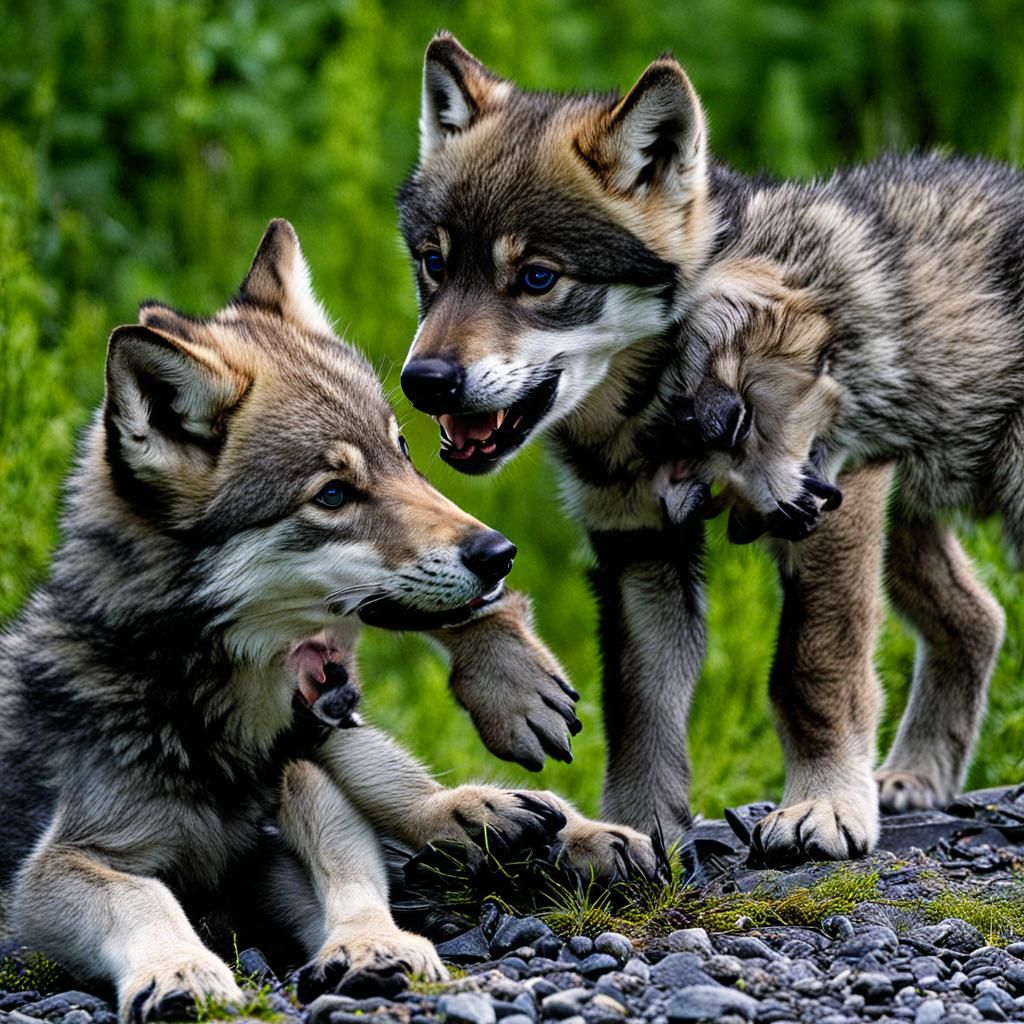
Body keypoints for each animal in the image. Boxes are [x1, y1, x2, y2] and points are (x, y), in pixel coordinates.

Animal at [0, 219, 662, 1021]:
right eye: (334, 495)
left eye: (401, 452)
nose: (498, 554)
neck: (219, 726)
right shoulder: (56, 872)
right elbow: (145, 899)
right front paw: (182, 970)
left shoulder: (288, 812)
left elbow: (349, 869)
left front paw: (374, 945)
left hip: (327, 727)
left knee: (399, 789)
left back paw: (531, 822)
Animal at [397, 34, 1012, 865]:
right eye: (434, 264)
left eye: (537, 278)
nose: (424, 380)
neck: (667, 392)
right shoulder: (639, 543)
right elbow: (640, 706)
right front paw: (634, 831)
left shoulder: (825, 499)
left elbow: (812, 669)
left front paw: (822, 808)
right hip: (905, 520)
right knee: (978, 619)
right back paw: (915, 776)